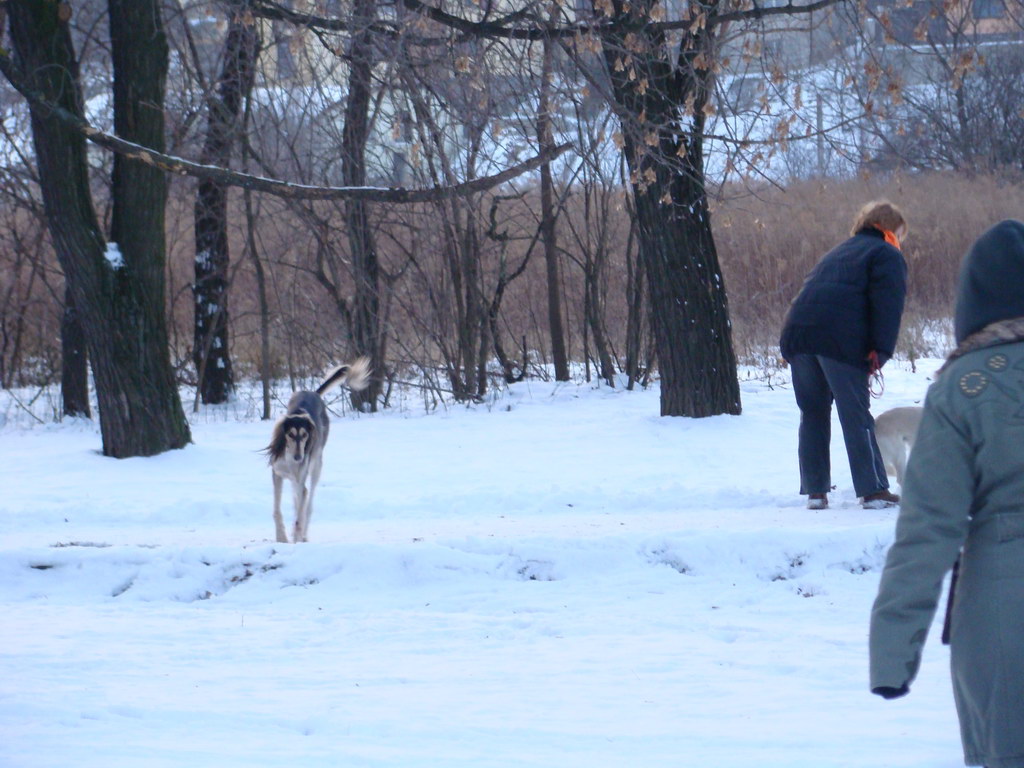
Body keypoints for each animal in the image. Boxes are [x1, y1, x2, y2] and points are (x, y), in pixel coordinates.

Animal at [266, 360, 370, 544]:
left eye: (305, 435)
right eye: (290, 434)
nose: (299, 457)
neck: (289, 458)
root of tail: (313, 393)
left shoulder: (300, 480)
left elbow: (300, 513)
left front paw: (296, 536)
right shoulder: (277, 475)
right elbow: (277, 510)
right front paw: (281, 536)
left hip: (316, 467)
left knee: (308, 504)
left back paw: (303, 534)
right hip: (296, 479)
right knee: (298, 502)